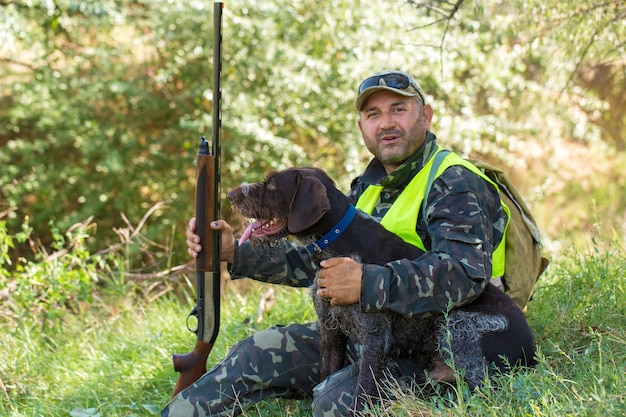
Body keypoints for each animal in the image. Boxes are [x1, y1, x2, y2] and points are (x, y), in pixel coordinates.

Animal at [227, 167, 532, 414]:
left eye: (271, 185)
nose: (230, 194)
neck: (334, 242)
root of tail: (533, 353)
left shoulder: (375, 338)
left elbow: (362, 390)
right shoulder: (331, 330)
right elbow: (327, 371)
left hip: (459, 326)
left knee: (481, 387)